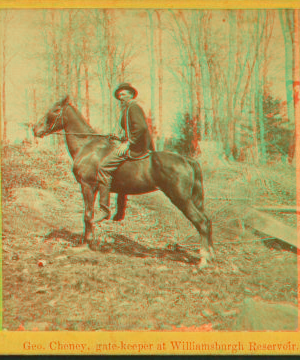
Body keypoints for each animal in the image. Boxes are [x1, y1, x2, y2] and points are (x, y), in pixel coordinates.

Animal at [33, 95, 216, 268]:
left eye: (55, 110)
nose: (35, 129)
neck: (87, 146)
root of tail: (186, 160)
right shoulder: (94, 188)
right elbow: (88, 215)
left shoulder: (87, 186)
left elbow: (88, 215)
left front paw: (86, 243)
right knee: (207, 220)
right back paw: (210, 254)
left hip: (181, 198)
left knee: (201, 222)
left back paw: (203, 259)